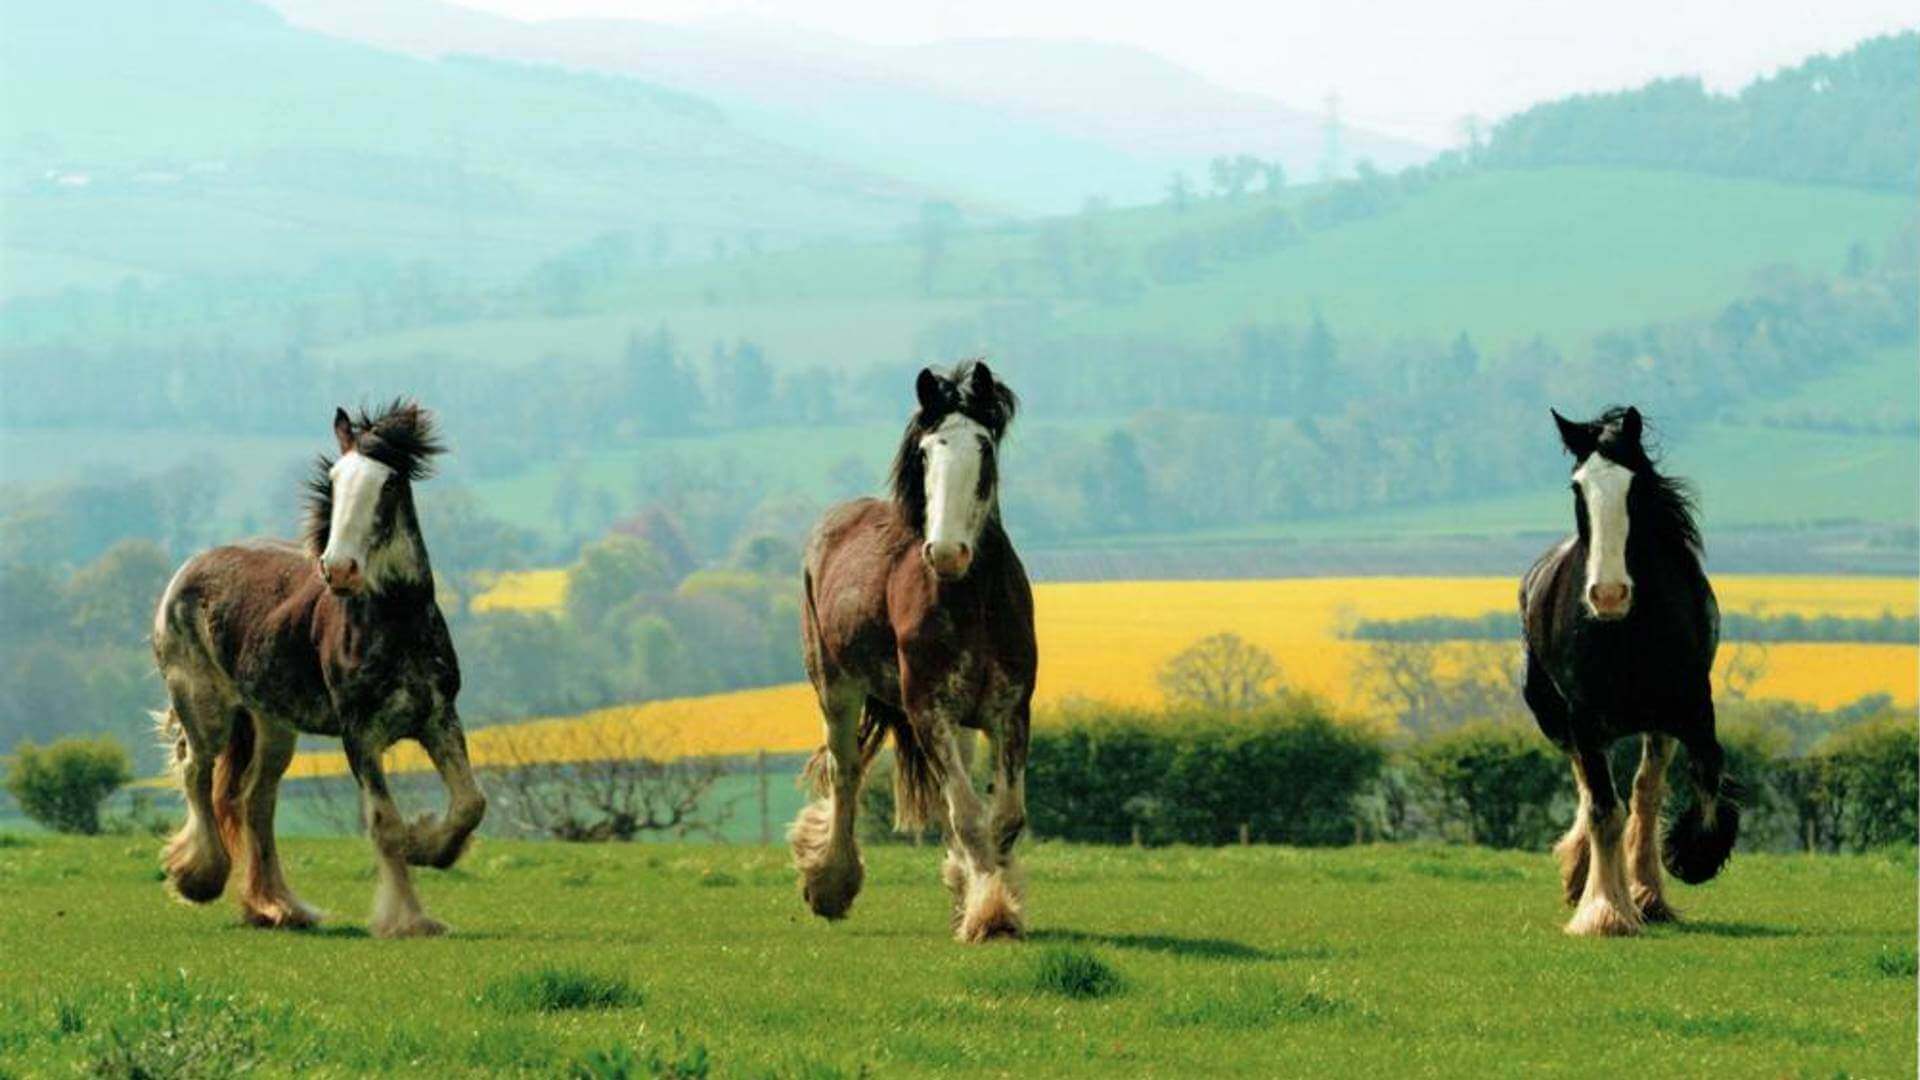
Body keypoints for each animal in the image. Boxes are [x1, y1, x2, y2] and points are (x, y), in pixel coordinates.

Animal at [156, 401, 487, 933]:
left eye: (388, 484)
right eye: (335, 479)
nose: (340, 569)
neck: (395, 623)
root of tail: (189, 569)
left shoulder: (439, 718)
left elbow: (470, 803)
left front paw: (427, 845)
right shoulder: (361, 735)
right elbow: (384, 823)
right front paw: (408, 918)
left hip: (272, 725)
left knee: (256, 801)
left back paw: (279, 908)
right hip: (203, 707)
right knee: (196, 772)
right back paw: (199, 878)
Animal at [791, 357, 1044, 937]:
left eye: (984, 447)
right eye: (927, 451)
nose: (947, 552)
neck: (971, 601)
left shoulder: (1010, 710)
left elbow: (1004, 817)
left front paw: (994, 901)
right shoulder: (928, 710)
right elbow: (969, 816)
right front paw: (990, 915)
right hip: (835, 688)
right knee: (846, 771)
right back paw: (831, 884)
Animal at [1512, 403, 1743, 933]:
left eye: (1634, 486)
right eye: (1577, 487)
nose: (1608, 595)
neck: (1626, 630)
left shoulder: (1692, 706)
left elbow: (1705, 777)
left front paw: (1688, 860)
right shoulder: (1582, 718)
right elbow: (1603, 808)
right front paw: (1605, 913)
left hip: (1655, 726)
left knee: (1645, 792)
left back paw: (1647, 894)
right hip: (1560, 721)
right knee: (1594, 793)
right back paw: (1584, 878)